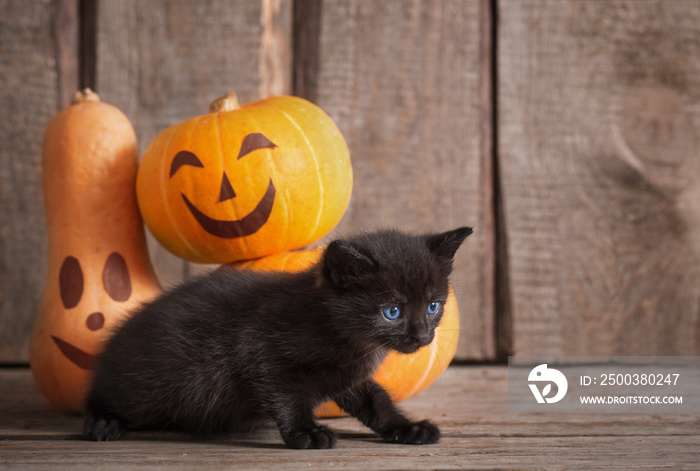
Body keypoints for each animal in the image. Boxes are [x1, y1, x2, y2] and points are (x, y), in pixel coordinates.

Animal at [85, 228, 474, 450]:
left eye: (433, 306)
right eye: (392, 311)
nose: (422, 336)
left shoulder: (346, 376)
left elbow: (375, 400)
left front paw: (405, 428)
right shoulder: (261, 350)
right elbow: (286, 395)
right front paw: (306, 433)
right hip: (145, 386)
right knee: (102, 395)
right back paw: (104, 422)